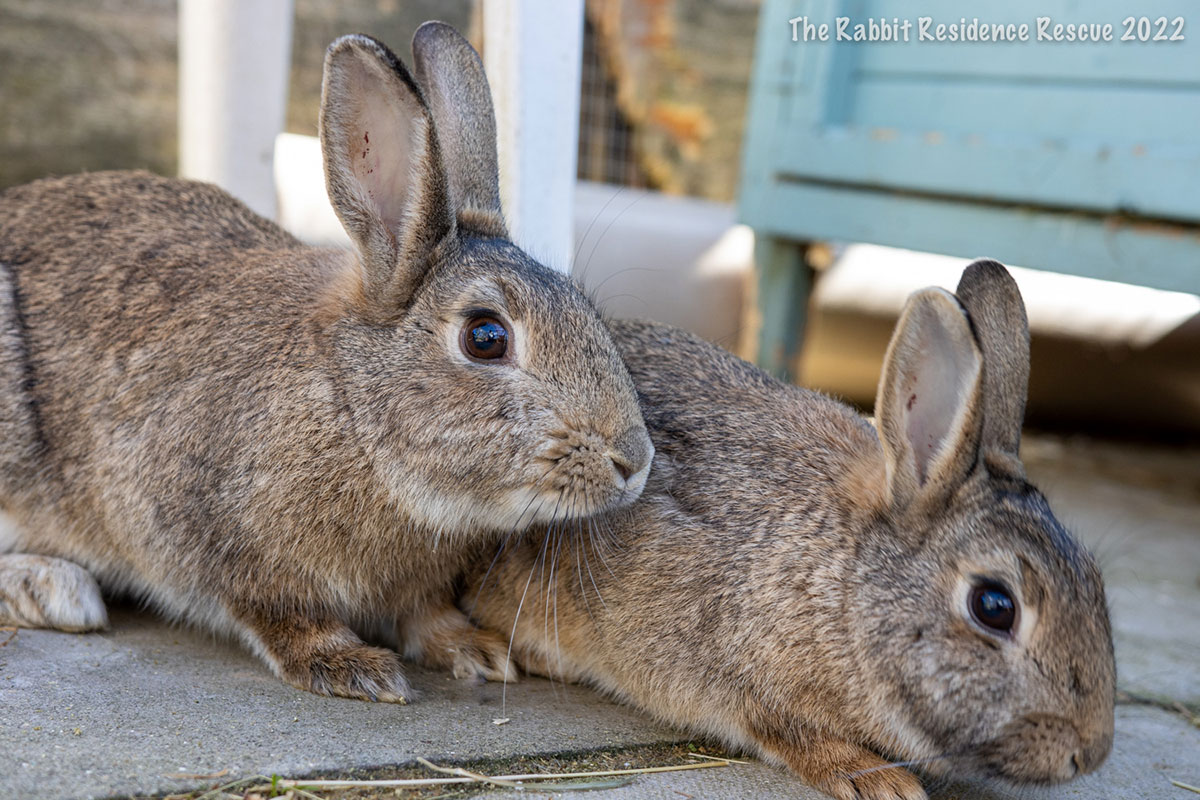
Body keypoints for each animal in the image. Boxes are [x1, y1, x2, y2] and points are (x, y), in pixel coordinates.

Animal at [0, 21, 657, 705]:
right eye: (485, 337)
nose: (635, 461)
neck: (352, 407)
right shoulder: (221, 541)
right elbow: (280, 616)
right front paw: (353, 668)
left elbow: (425, 614)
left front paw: (475, 651)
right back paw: (51, 588)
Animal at [465, 262, 1113, 800]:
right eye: (994, 606)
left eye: (1096, 581)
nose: (1091, 751)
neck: (845, 589)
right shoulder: (734, 679)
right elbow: (784, 730)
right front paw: (880, 782)